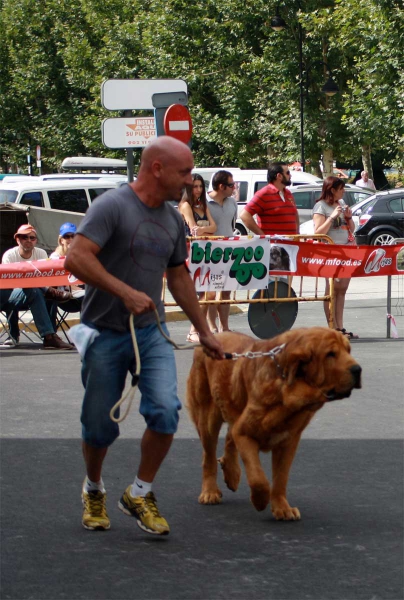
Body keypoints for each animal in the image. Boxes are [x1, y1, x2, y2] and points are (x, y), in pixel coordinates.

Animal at [188, 328, 362, 520]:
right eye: (330, 354)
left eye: (348, 351)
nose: (358, 369)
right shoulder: (244, 433)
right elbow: (258, 478)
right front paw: (260, 501)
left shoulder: (288, 441)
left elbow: (280, 478)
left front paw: (282, 508)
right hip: (208, 418)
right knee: (209, 456)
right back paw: (210, 492)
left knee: (228, 438)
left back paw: (232, 474)